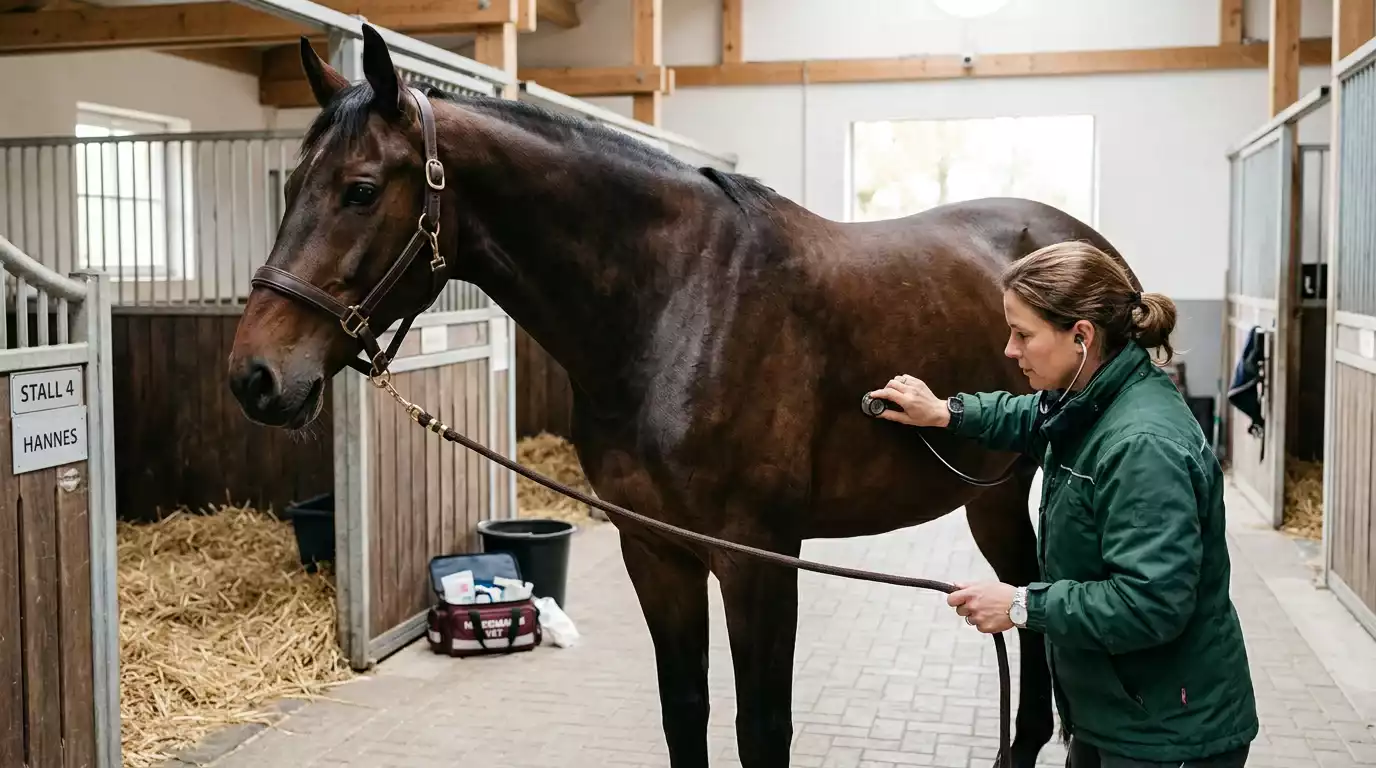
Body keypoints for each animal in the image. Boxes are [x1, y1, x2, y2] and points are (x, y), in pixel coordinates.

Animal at [227, 26, 1142, 768]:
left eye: (360, 188)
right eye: (288, 187)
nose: (254, 376)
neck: (679, 304)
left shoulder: (759, 561)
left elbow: (761, 729)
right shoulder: (656, 552)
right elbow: (685, 711)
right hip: (994, 495)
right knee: (1030, 602)